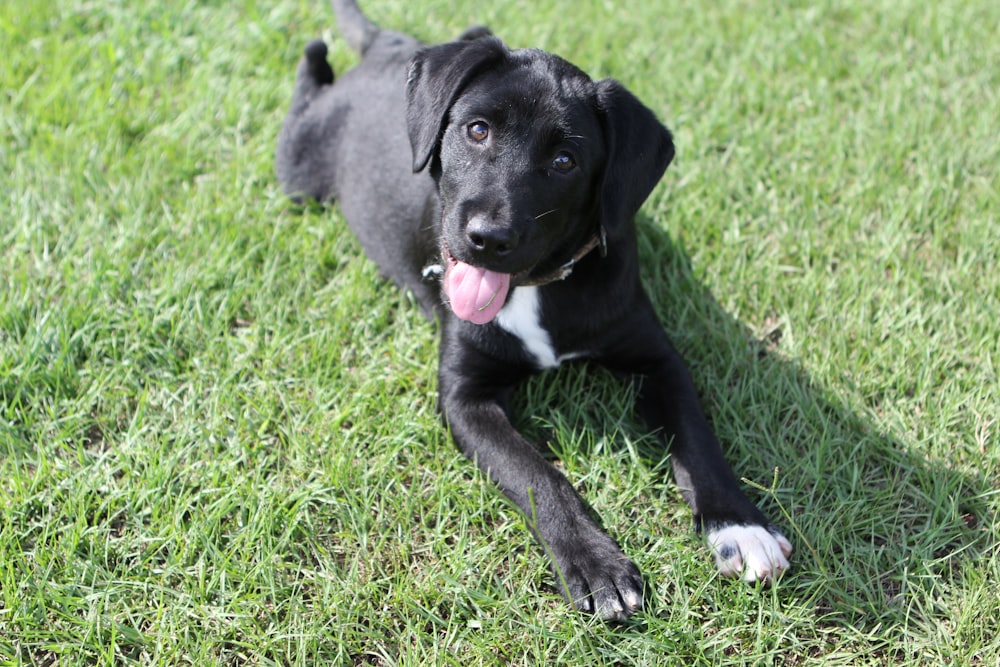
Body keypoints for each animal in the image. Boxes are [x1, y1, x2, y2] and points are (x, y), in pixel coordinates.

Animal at [276, 0, 788, 620]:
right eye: (477, 130)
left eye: (565, 160)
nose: (487, 238)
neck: (534, 287)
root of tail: (387, 51)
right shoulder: (465, 397)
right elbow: (538, 475)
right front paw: (595, 562)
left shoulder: (657, 358)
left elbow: (700, 439)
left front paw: (741, 526)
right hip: (297, 172)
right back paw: (314, 58)